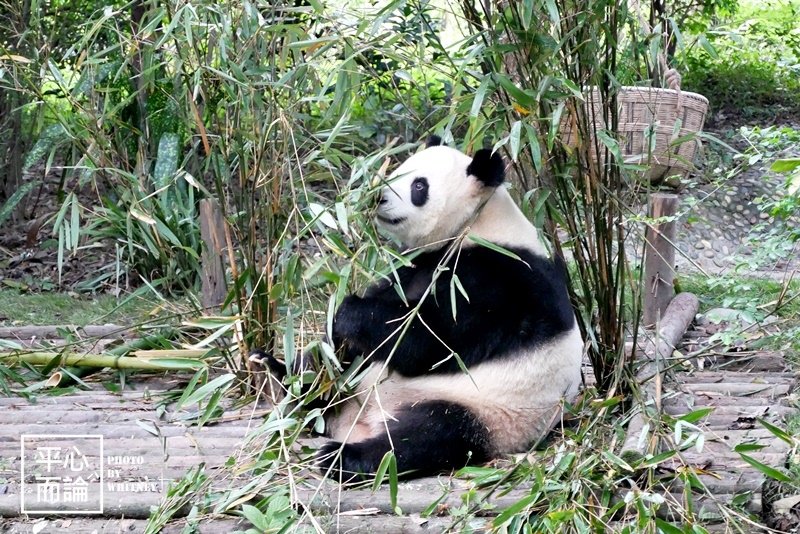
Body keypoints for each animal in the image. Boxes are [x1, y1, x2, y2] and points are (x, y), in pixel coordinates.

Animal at [316, 138, 584, 482]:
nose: (378, 196)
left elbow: (428, 342)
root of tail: (360, 422)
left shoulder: (497, 281)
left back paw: (343, 457)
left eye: (419, 186)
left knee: (428, 434)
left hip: (489, 413)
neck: (477, 223)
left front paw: (349, 311)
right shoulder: (417, 266)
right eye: (398, 170)